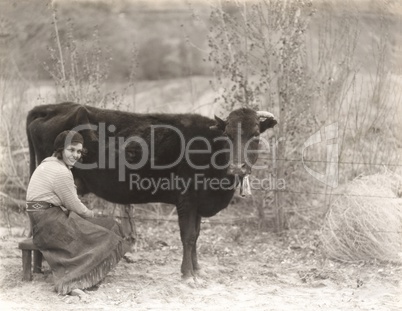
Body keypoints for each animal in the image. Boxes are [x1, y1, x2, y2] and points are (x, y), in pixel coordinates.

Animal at [25, 102, 276, 280]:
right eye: (228, 135)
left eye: (255, 134)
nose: (237, 167)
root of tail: (53, 107)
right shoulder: (186, 199)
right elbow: (188, 236)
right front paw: (187, 274)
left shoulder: (197, 203)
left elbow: (196, 236)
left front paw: (197, 270)